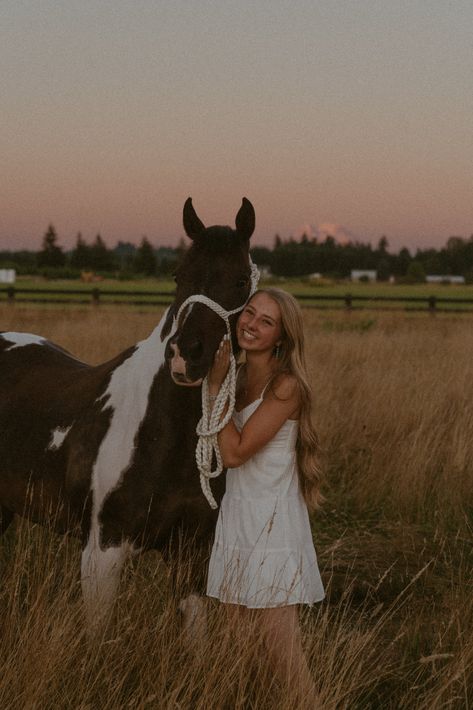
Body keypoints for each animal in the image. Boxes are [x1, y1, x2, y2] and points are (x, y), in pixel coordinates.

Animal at [0, 197, 256, 636]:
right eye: (178, 275)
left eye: (241, 280)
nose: (186, 355)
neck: (161, 435)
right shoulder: (103, 552)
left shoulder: (191, 552)